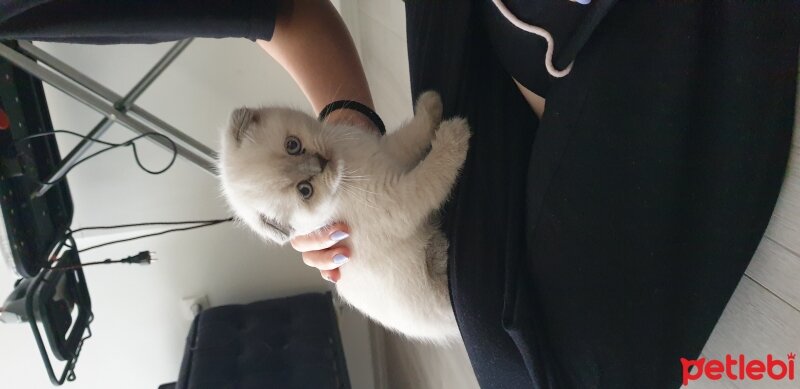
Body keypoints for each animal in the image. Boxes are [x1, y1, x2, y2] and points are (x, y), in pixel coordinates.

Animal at [219, 92, 468, 342]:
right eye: (305, 190)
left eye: (293, 145)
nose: (321, 164)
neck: (347, 168)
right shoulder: (397, 199)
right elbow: (432, 171)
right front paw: (455, 133)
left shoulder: (386, 150)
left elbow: (416, 133)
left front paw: (430, 103)